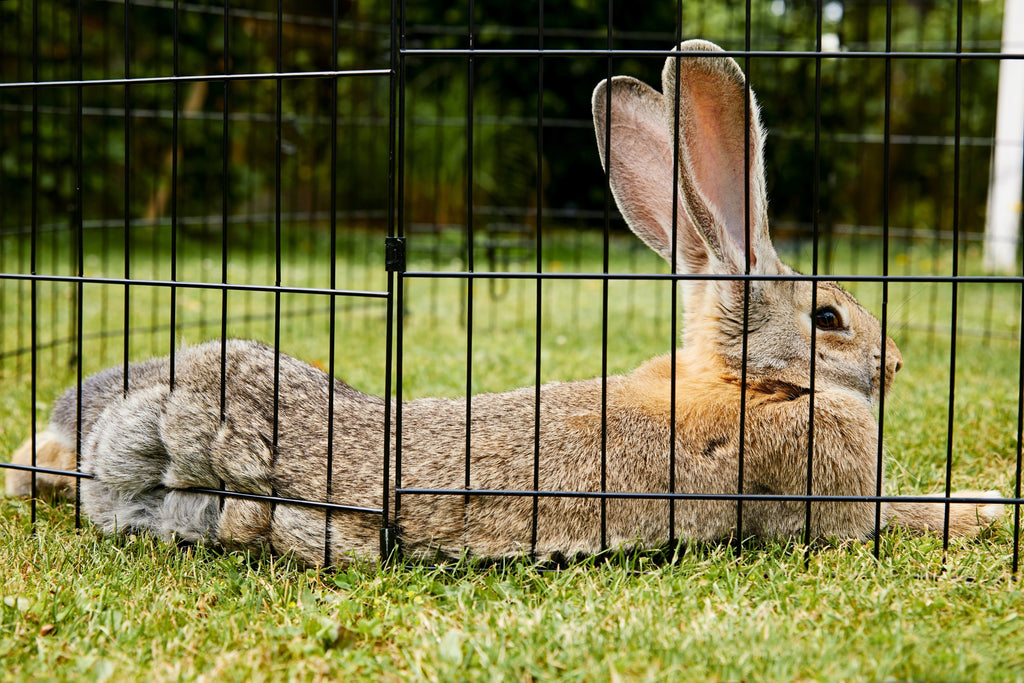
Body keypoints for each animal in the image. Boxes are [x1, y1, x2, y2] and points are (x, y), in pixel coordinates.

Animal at [6, 40, 999, 569]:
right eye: (829, 319)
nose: (895, 363)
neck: (754, 382)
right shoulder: (830, 510)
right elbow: (900, 517)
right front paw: (984, 507)